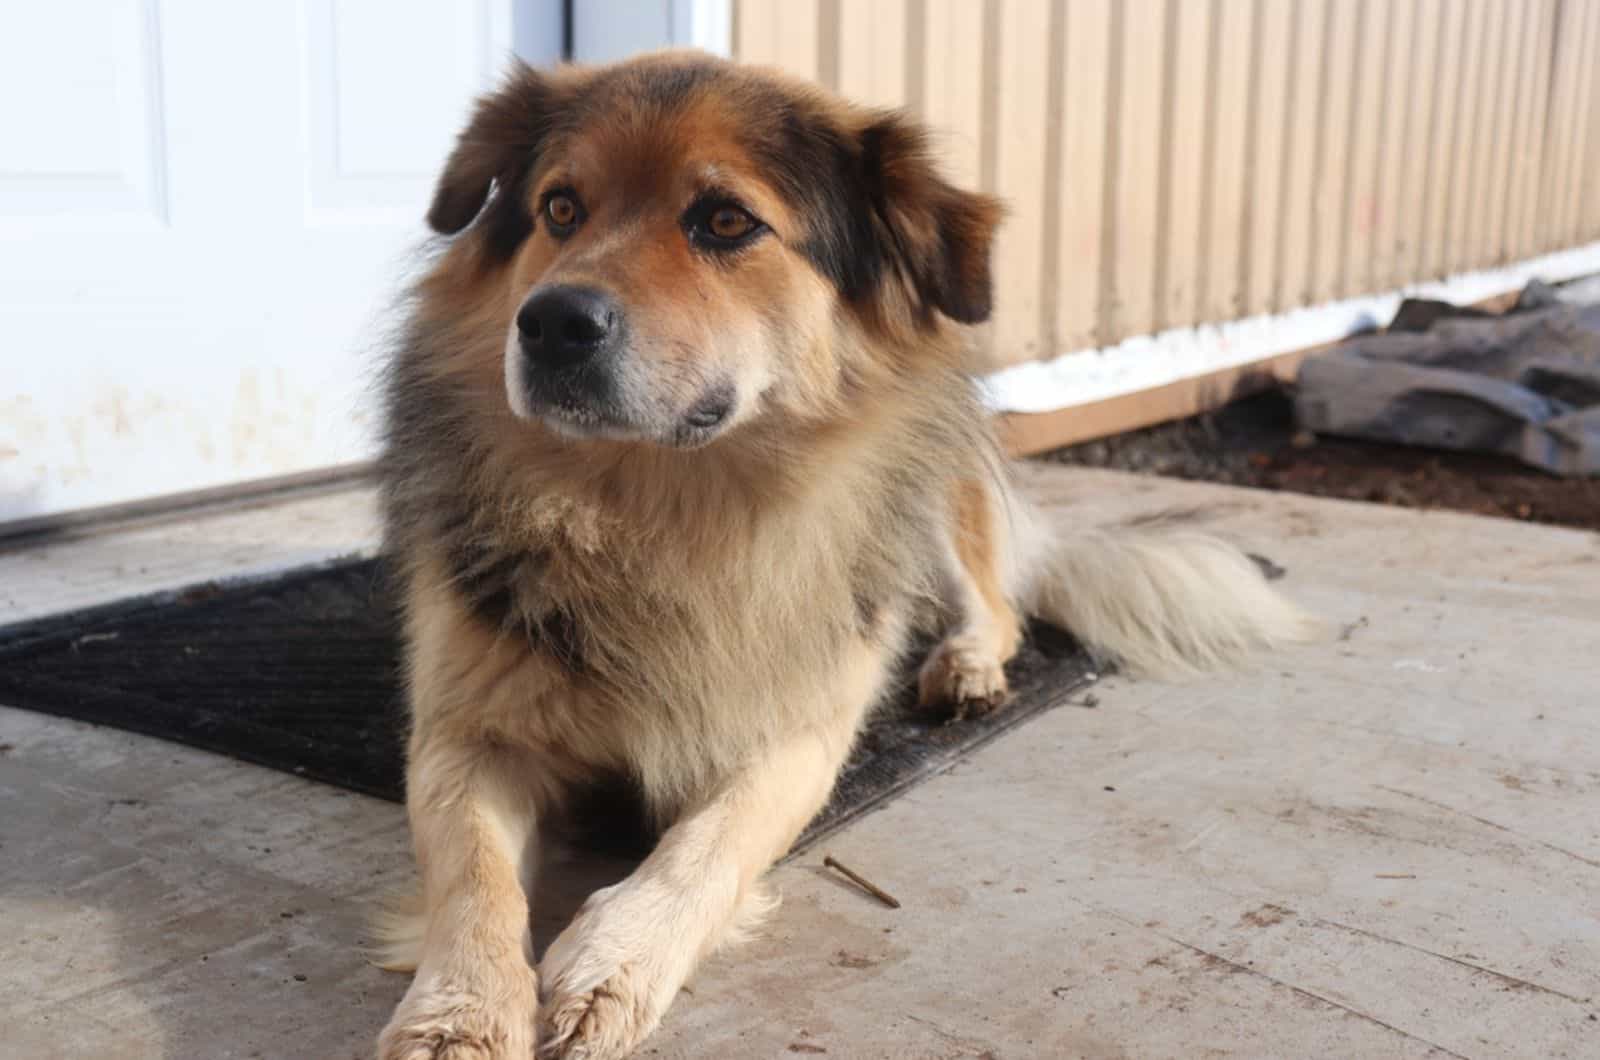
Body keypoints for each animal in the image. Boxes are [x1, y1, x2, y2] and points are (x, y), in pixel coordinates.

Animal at [368, 49, 1318, 1060]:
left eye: (726, 221)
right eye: (559, 208)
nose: (549, 323)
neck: (656, 512)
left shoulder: (800, 730)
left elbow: (710, 843)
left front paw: (615, 960)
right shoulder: (466, 730)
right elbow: (473, 877)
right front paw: (460, 1008)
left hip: (923, 503)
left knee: (995, 603)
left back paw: (967, 664)